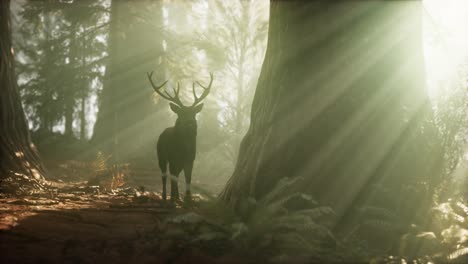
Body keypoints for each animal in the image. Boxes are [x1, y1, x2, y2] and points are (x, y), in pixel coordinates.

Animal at [147, 71, 213, 201]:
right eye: (181, 114)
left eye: (194, 113)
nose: (190, 123)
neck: (184, 148)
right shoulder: (173, 157)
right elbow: (173, 177)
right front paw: (173, 197)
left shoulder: (190, 159)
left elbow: (188, 178)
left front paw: (188, 197)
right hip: (161, 154)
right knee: (165, 174)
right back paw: (165, 195)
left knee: (175, 174)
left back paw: (177, 195)